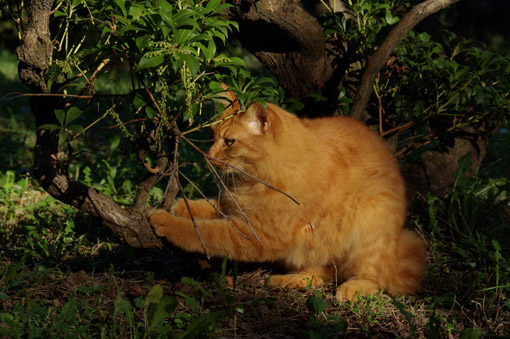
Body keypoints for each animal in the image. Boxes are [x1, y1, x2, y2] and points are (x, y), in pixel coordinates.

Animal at [148, 89, 426, 302]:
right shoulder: (237, 211)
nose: (208, 156)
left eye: (229, 142)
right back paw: (287, 280)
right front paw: (182, 207)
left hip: (371, 216)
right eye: (211, 137)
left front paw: (166, 222)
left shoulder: (257, 233)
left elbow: (205, 233)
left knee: (371, 278)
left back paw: (351, 289)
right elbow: (212, 207)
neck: (251, 180)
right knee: (321, 273)